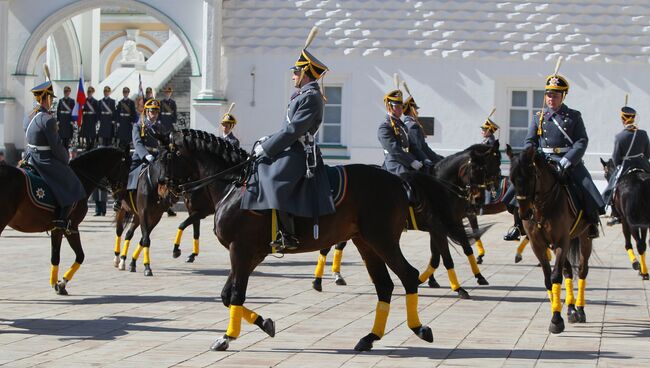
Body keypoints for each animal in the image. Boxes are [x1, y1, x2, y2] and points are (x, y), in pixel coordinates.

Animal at [0, 148, 130, 294]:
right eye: (126, 169)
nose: (121, 201)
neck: (80, 179)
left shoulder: (57, 228)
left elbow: (55, 256)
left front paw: (55, 283)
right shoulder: (71, 228)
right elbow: (80, 256)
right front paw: (62, 283)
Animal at [157, 129, 474, 350]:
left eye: (163, 156)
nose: (161, 190)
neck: (235, 186)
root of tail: (396, 179)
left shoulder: (241, 250)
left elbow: (235, 295)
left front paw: (226, 337)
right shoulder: (250, 254)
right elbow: (227, 296)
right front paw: (264, 323)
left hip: (382, 240)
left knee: (407, 276)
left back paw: (419, 328)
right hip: (366, 243)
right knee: (384, 286)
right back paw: (369, 338)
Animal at [506, 147, 592, 334]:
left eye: (531, 177)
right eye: (511, 179)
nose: (524, 213)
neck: (541, 207)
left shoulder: (561, 242)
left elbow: (555, 276)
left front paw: (556, 320)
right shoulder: (538, 245)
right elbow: (548, 279)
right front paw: (557, 312)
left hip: (584, 238)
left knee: (582, 270)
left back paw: (580, 309)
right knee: (568, 270)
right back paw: (571, 309)